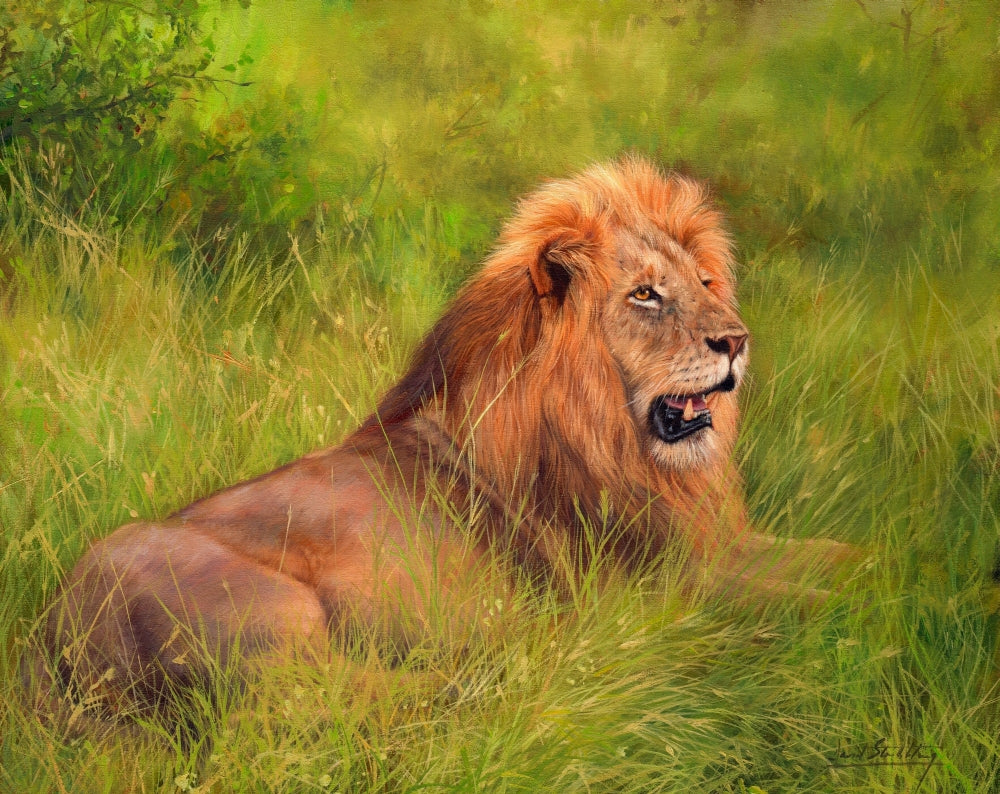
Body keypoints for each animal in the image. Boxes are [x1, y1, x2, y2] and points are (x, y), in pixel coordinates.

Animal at [30, 156, 858, 725]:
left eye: (706, 283)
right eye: (646, 294)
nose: (737, 341)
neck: (615, 439)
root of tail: (60, 632)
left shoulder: (711, 547)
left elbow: (841, 558)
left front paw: (882, 571)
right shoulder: (659, 587)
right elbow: (795, 599)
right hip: (271, 619)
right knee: (318, 705)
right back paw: (503, 668)